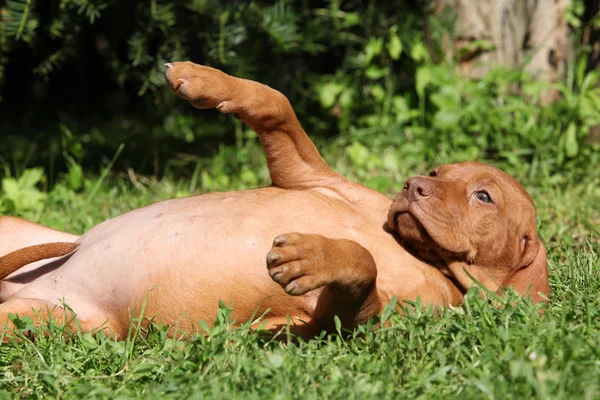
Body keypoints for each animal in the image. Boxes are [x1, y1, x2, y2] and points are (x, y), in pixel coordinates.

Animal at [0, 62, 548, 338]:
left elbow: (363, 266)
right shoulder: (307, 176)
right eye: (437, 172)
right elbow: (275, 102)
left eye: (484, 196)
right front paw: (201, 79)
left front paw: (311, 255)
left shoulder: (350, 323)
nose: (413, 184)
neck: (423, 255)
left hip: (56, 322)